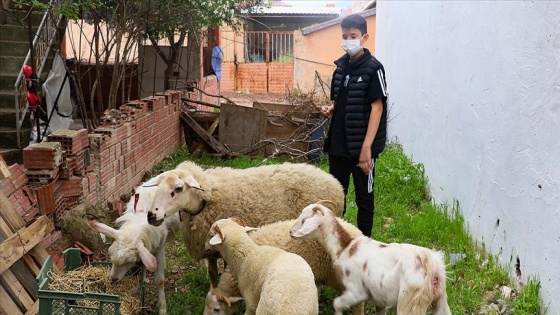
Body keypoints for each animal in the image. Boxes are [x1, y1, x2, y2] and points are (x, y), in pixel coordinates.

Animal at [90, 175, 179, 315]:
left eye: (128, 261)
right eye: (110, 257)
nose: (113, 279)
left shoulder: (159, 246)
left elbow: (159, 280)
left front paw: (162, 308)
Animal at [143, 162, 346, 288]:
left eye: (178, 188)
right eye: (158, 186)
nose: (151, 215)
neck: (205, 202)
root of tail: (337, 185)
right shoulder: (211, 251)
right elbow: (213, 275)